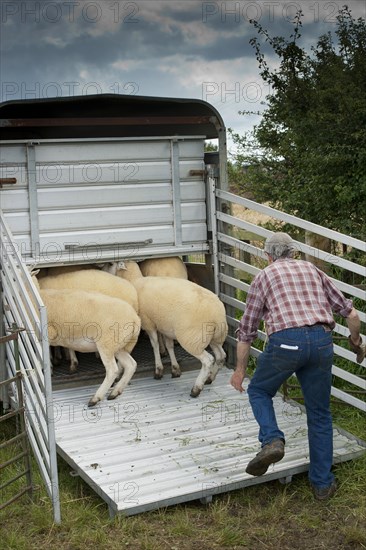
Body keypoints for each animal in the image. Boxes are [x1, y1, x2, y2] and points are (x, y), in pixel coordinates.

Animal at [31, 278, 141, 408]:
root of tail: (135, 319)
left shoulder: (47, 335)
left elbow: (41, 358)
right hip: (118, 346)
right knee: (131, 364)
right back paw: (115, 392)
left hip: (106, 344)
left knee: (112, 370)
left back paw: (95, 398)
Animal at [115, 260, 229, 398]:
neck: (135, 280)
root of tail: (217, 313)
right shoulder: (166, 327)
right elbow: (169, 346)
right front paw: (175, 369)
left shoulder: (149, 323)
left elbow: (155, 345)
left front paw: (158, 370)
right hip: (215, 337)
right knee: (221, 356)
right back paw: (210, 378)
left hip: (192, 339)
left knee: (208, 360)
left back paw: (196, 388)